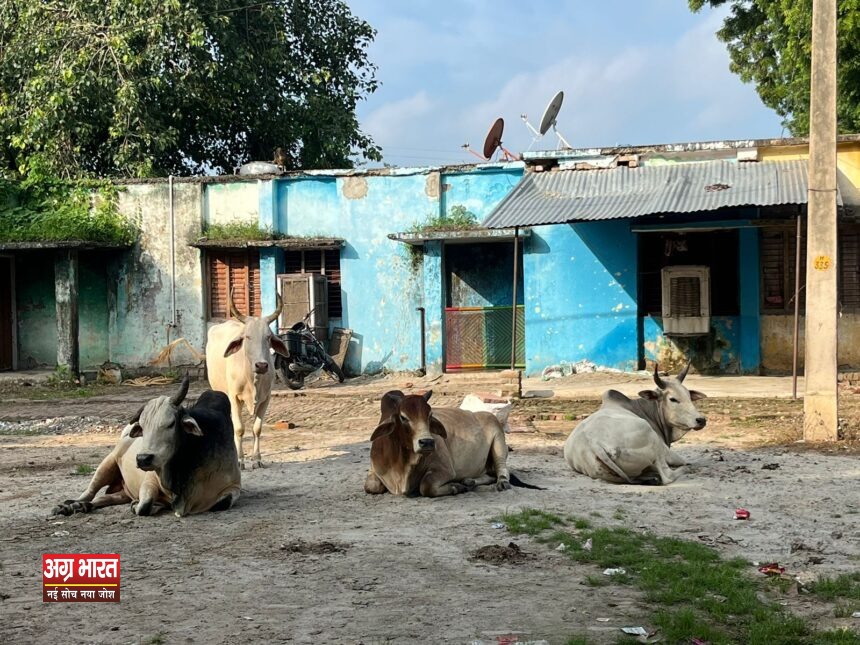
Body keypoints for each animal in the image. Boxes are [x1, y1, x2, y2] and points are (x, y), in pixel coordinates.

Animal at [52, 378, 242, 520]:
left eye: (171, 423)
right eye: (142, 427)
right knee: (90, 491)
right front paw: (142, 506)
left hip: (123, 491)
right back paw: (71, 506)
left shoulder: (233, 487)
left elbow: (221, 503)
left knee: (104, 498)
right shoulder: (149, 480)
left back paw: (83, 506)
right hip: (108, 462)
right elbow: (144, 505)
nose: (143, 459)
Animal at [207, 292, 288, 468]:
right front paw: (239, 459)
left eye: (268, 337)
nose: (261, 365)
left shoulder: (266, 398)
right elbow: (239, 428)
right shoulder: (234, 398)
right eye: (247, 337)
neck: (252, 379)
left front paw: (256, 459)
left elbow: (257, 428)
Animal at [364, 388, 544, 498]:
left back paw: (500, 483)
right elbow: (371, 486)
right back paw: (469, 481)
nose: (427, 442)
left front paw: (455, 487)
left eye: (430, 415)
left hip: (499, 443)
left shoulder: (445, 470)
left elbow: (426, 486)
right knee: (488, 475)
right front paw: (461, 485)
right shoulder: (374, 470)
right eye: (403, 417)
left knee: (501, 470)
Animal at [564, 362, 704, 484]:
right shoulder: (667, 452)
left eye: (689, 396)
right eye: (673, 399)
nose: (701, 420)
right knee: (667, 476)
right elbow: (684, 461)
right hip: (652, 440)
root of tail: (595, 444)